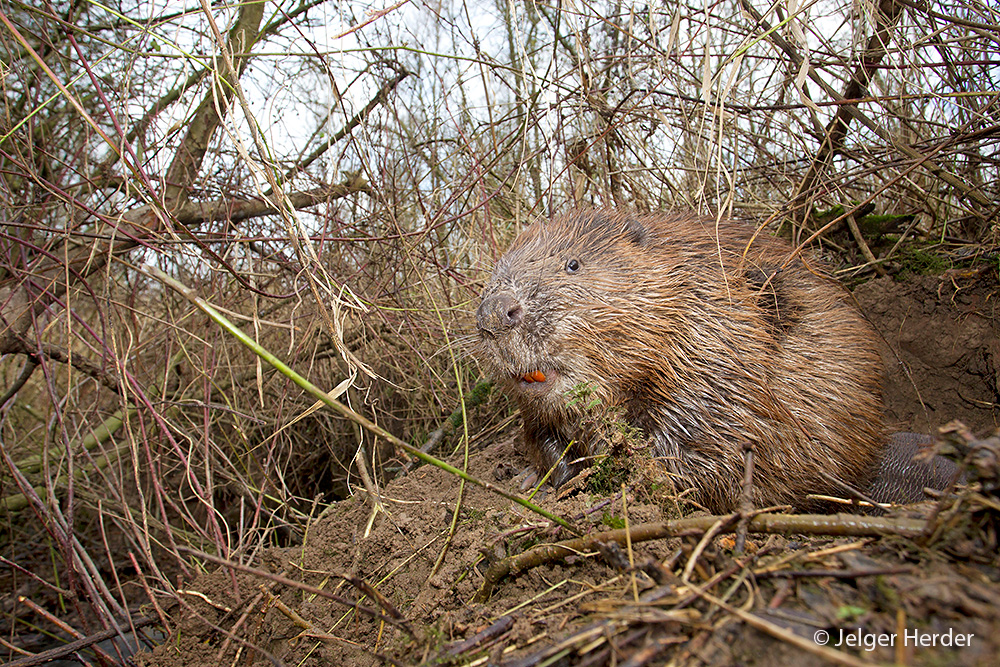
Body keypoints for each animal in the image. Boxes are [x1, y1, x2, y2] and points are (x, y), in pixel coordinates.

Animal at [474, 211, 952, 516]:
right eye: (496, 273)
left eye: (573, 264)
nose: (495, 312)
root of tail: (879, 451)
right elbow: (542, 435)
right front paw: (543, 477)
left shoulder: (714, 351)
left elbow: (712, 451)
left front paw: (613, 490)